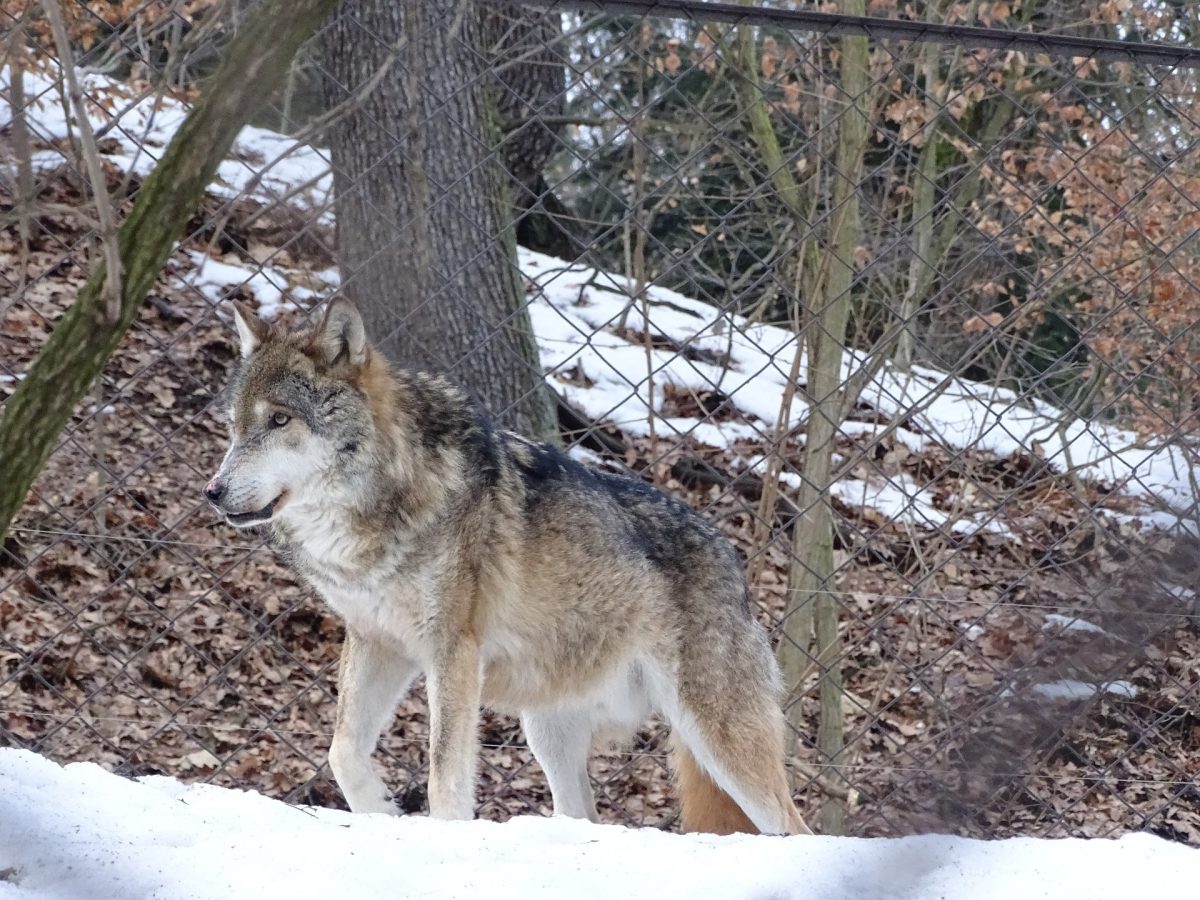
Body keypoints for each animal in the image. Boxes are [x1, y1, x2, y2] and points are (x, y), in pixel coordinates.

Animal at [206, 297, 811, 840]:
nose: (213, 492)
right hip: (547, 728)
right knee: (584, 816)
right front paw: (381, 812)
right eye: (234, 427)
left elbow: (444, 775)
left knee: (795, 825)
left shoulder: (452, 650)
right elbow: (341, 752)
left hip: (716, 737)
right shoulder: (376, 641)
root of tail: (733, 560)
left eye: (279, 420)